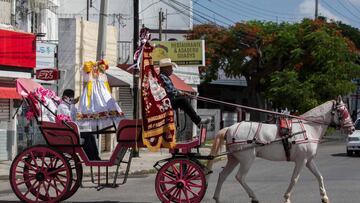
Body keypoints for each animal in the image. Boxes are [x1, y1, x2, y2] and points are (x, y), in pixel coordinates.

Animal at [208, 96, 354, 203]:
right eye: (342, 111)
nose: (352, 128)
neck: (308, 128)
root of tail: (230, 128)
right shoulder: (301, 161)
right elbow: (294, 179)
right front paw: (287, 197)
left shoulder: (308, 161)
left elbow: (319, 176)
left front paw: (324, 197)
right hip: (247, 159)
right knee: (240, 177)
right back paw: (254, 197)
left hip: (234, 158)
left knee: (223, 175)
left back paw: (217, 198)